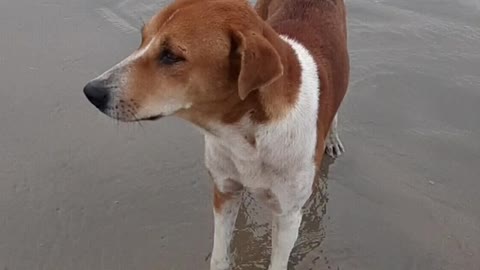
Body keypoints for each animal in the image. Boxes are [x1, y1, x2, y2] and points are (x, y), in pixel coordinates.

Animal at [83, 0, 348, 268]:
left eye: (171, 55)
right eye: (143, 38)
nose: (91, 91)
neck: (244, 135)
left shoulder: (288, 216)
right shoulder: (224, 192)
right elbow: (219, 257)